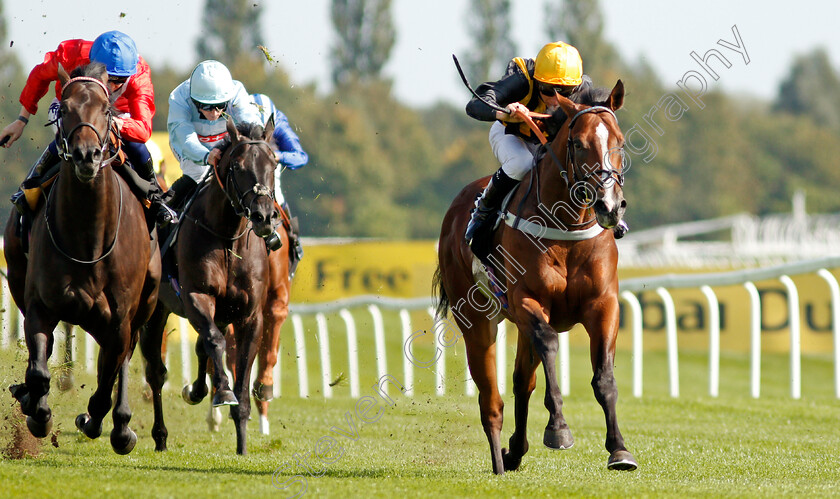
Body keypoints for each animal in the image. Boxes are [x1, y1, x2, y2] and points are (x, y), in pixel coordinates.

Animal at [3, 61, 162, 454]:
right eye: (64, 107)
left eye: (107, 110)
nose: (86, 156)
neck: (88, 239)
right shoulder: (40, 304)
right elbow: (39, 369)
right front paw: (37, 411)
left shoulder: (120, 320)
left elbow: (106, 382)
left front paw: (97, 420)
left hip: (145, 305)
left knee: (122, 361)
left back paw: (120, 426)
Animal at [140, 119, 278, 456]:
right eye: (238, 166)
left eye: (274, 163)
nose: (264, 216)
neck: (228, 237)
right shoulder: (196, 297)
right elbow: (215, 342)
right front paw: (223, 392)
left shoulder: (250, 315)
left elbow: (240, 368)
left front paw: (242, 445)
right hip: (155, 309)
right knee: (156, 371)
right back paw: (159, 434)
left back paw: (197, 391)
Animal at [436, 80, 632, 474]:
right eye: (578, 144)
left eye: (619, 141)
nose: (609, 205)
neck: (567, 227)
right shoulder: (528, 301)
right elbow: (551, 346)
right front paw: (558, 429)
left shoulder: (603, 305)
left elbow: (604, 377)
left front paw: (619, 449)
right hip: (478, 321)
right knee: (491, 401)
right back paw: (500, 461)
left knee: (521, 381)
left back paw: (515, 450)